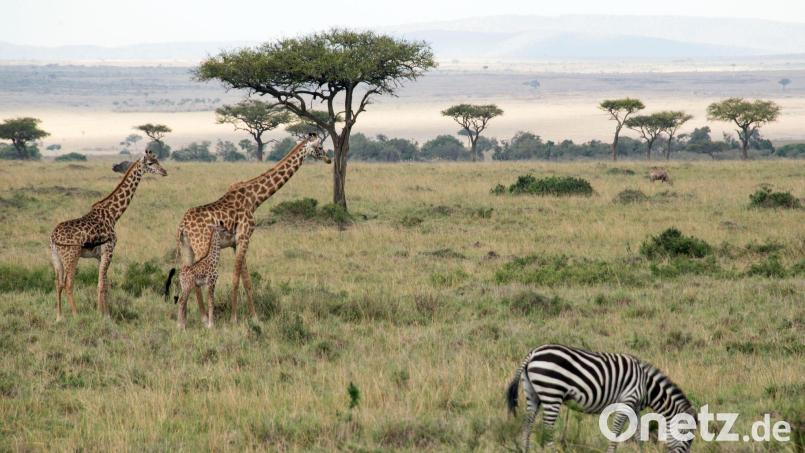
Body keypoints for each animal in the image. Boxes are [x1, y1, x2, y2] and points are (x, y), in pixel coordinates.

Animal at [506, 344, 695, 452]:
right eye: (688, 437)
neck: (646, 386)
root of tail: (533, 353)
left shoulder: (634, 406)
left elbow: (638, 434)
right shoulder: (627, 400)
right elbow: (617, 431)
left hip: (532, 393)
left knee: (527, 425)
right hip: (552, 392)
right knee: (548, 429)